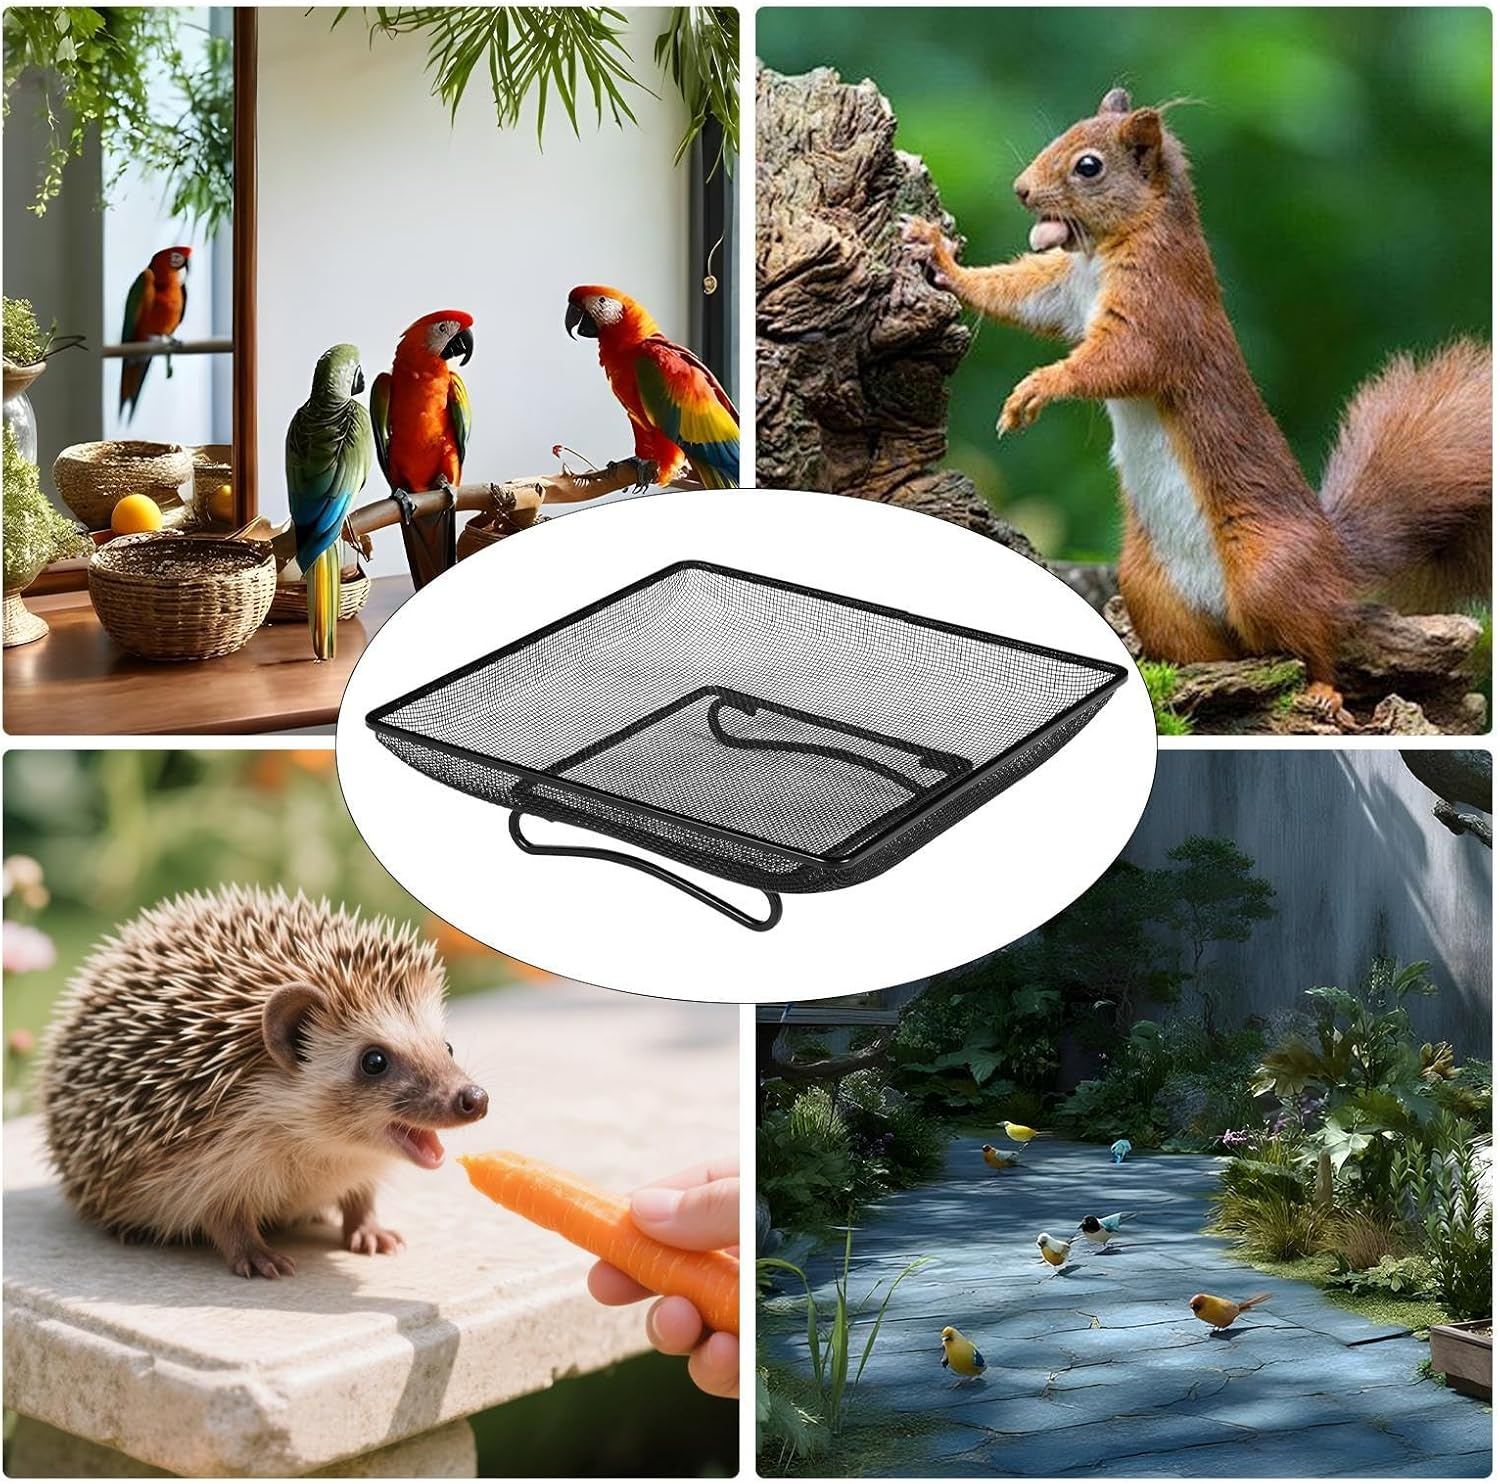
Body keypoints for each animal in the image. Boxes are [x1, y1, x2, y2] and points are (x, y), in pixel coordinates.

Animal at [901, 87, 1491, 718]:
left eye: (1089, 166)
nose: (1021, 190)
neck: (1106, 252)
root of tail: (1336, 556)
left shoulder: (1160, 309)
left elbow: (1118, 362)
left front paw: (1035, 388)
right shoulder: (1062, 290)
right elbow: (1015, 293)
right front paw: (939, 256)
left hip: (1267, 573)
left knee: (1316, 639)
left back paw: (1323, 690)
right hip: (1150, 588)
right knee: (1213, 648)